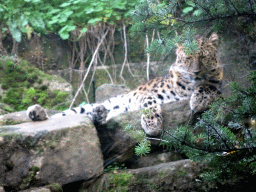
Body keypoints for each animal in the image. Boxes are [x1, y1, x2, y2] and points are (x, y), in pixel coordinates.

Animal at [26, 33, 222, 137]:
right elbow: (149, 103)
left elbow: (210, 86)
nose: (196, 72)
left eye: (204, 57)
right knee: (63, 116)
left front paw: (199, 101)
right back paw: (36, 112)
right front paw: (152, 125)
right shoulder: (147, 93)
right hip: (83, 109)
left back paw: (100, 113)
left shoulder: (218, 85)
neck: (189, 86)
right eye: (187, 58)